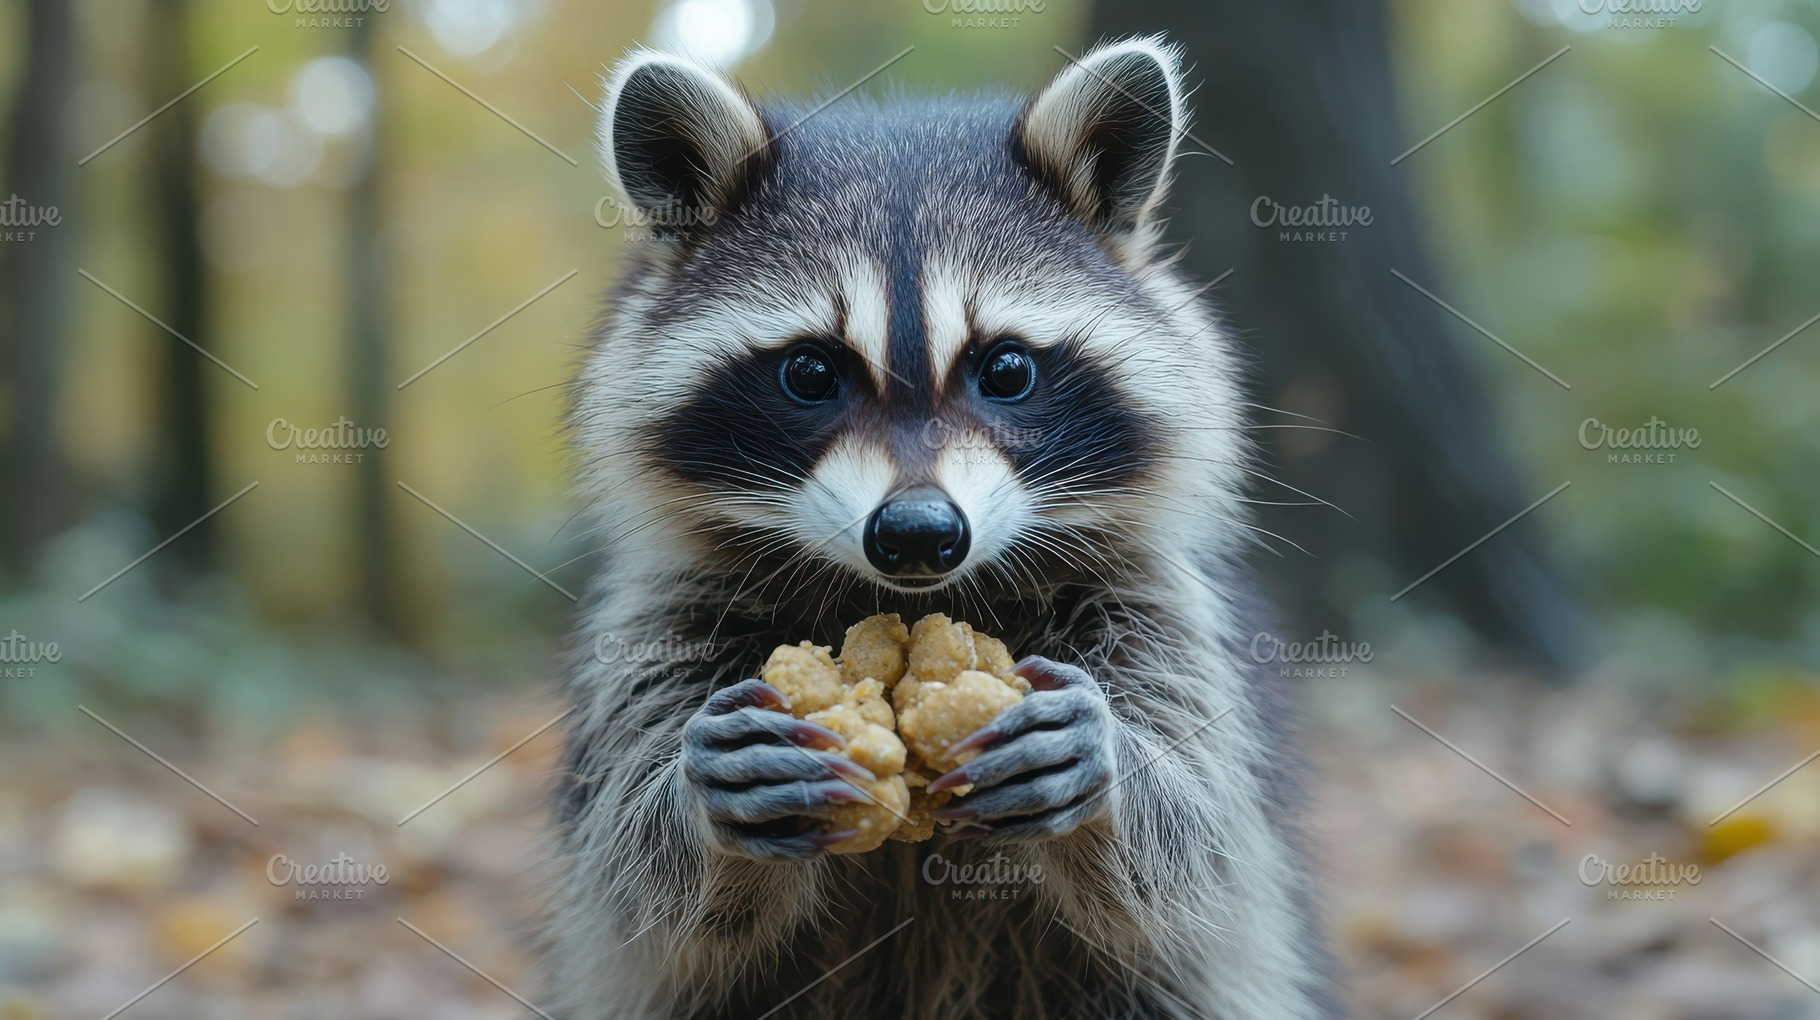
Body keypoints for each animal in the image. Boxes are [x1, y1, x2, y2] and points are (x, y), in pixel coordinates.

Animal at [544, 36, 1343, 1020]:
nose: (919, 532)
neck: (917, 598)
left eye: (1006, 369)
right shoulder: (662, 618)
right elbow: (638, 879)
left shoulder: (1162, 607)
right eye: (811, 373)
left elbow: (1203, 844)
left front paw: (1117, 773)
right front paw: (698, 808)